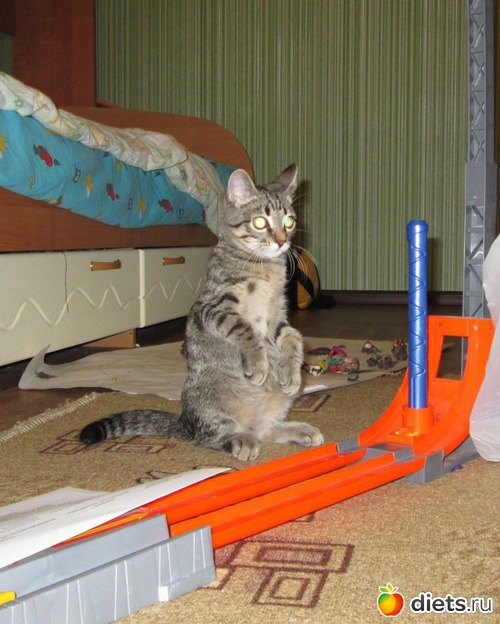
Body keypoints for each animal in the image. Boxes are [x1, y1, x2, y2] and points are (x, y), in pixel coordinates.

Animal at [80, 165, 324, 460]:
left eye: (288, 222)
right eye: (259, 223)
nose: (281, 241)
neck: (264, 267)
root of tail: (185, 421)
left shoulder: (277, 316)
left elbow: (293, 336)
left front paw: (292, 373)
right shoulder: (211, 308)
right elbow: (246, 330)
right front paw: (258, 365)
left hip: (276, 405)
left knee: (265, 430)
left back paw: (300, 430)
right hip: (211, 403)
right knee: (212, 437)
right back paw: (241, 440)